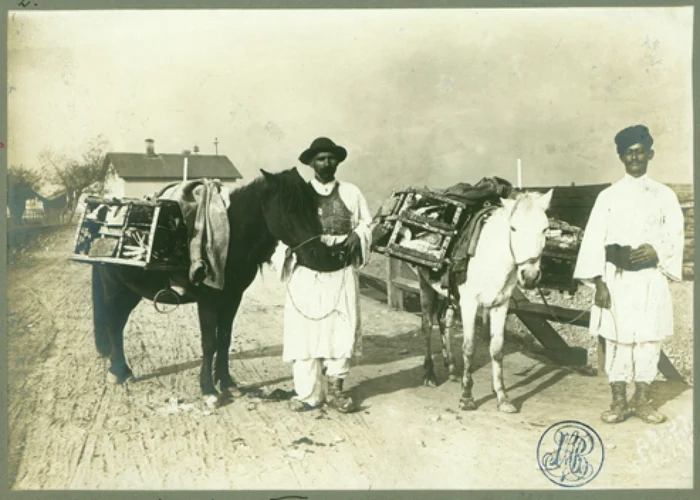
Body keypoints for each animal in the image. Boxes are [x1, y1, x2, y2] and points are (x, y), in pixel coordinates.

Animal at [91, 168, 338, 398]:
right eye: (289, 209)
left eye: (313, 208)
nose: (320, 255)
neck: (231, 237)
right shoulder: (208, 300)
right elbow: (209, 342)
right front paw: (209, 389)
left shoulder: (232, 298)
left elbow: (224, 340)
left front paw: (227, 383)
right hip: (115, 289)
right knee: (113, 324)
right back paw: (117, 372)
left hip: (130, 293)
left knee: (118, 324)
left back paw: (123, 370)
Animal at [416, 189, 552, 412]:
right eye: (513, 228)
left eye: (545, 228)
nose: (530, 276)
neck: (492, 257)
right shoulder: (470, 303)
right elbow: (469, 347)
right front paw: (466, 397)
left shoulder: (501, 304)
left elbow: (497, 349)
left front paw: (502, 397)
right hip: (425, 285)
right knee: (427, 326)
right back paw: (429, 374)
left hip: (450, 294)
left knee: (445, 322)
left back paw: (452, 369)